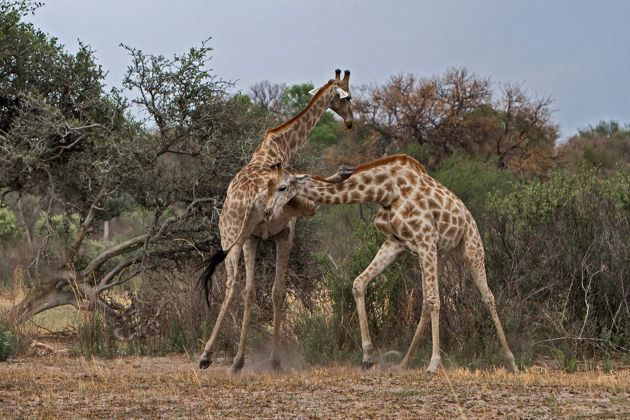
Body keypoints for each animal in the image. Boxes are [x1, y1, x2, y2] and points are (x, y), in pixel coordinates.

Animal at [199, 69, 356, 374]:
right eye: (348, 97)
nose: (351, 122)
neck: (279, 146)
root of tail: (252, 198)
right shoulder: (285, 232)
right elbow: (278, 291)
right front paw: (274, 360)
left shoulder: (257, 237)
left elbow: (259, 291)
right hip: (254, 233)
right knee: (241, 285)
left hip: (237, 239)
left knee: (241, 288)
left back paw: (227, 359)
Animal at [266, 155, 520, 374]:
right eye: (268, 185)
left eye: (282, 187)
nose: (267, 211)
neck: (384, 191)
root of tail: (467, 213)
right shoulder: (395, 243)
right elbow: (359, 283)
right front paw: (368, 357)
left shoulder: (425, 239)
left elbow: (436, 301)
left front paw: (434, 363)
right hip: (440, 254)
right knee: (425, 303)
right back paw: (404, 362)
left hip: (470, 247)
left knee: (487, 296)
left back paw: (511, 361)